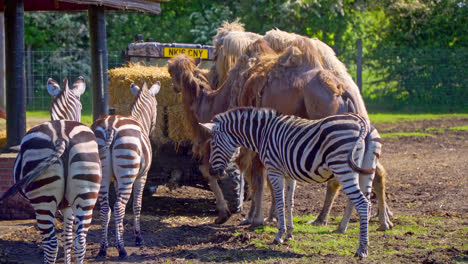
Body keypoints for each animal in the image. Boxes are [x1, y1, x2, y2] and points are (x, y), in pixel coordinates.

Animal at [91, 81, 161, 258]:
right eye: (157, 106)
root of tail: (110, 126)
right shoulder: (142, 177)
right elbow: (137, 205)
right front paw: (138, 238)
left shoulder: (116, 180)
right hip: (128, 173)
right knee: (118, 207)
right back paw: (122, 249)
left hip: (102, 175)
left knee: (105, 209)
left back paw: (103, 248)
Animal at [200, 106, 380, 256]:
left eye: (213, 144)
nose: (213, 172)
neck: (262, 133)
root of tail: (362, 122)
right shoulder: (289, 175)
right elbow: (289, 203)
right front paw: (289, 234)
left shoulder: (274, 171)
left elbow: (280, 202)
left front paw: (279, 235)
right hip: (366, 168)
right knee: (365, 203)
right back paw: (355, 238)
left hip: (342, 167)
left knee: (362, 203)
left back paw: (361, 249)